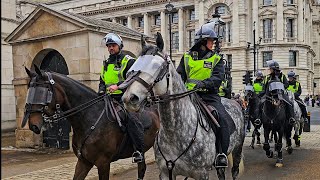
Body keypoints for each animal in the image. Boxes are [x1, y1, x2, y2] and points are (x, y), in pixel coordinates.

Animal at [21, 65, 159, 179]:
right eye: (29, 90)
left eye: (42, 92)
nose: (33, 125)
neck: (90, 119)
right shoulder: (84, 162)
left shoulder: (103, 163)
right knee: (142, 168)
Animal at [120, 33, 245, 179]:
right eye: (134, 64)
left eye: (158, 66)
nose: (129, 98)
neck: (174, 134)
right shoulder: (166, 172)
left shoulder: (202, 174)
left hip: (237, 150)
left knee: (234, 170)